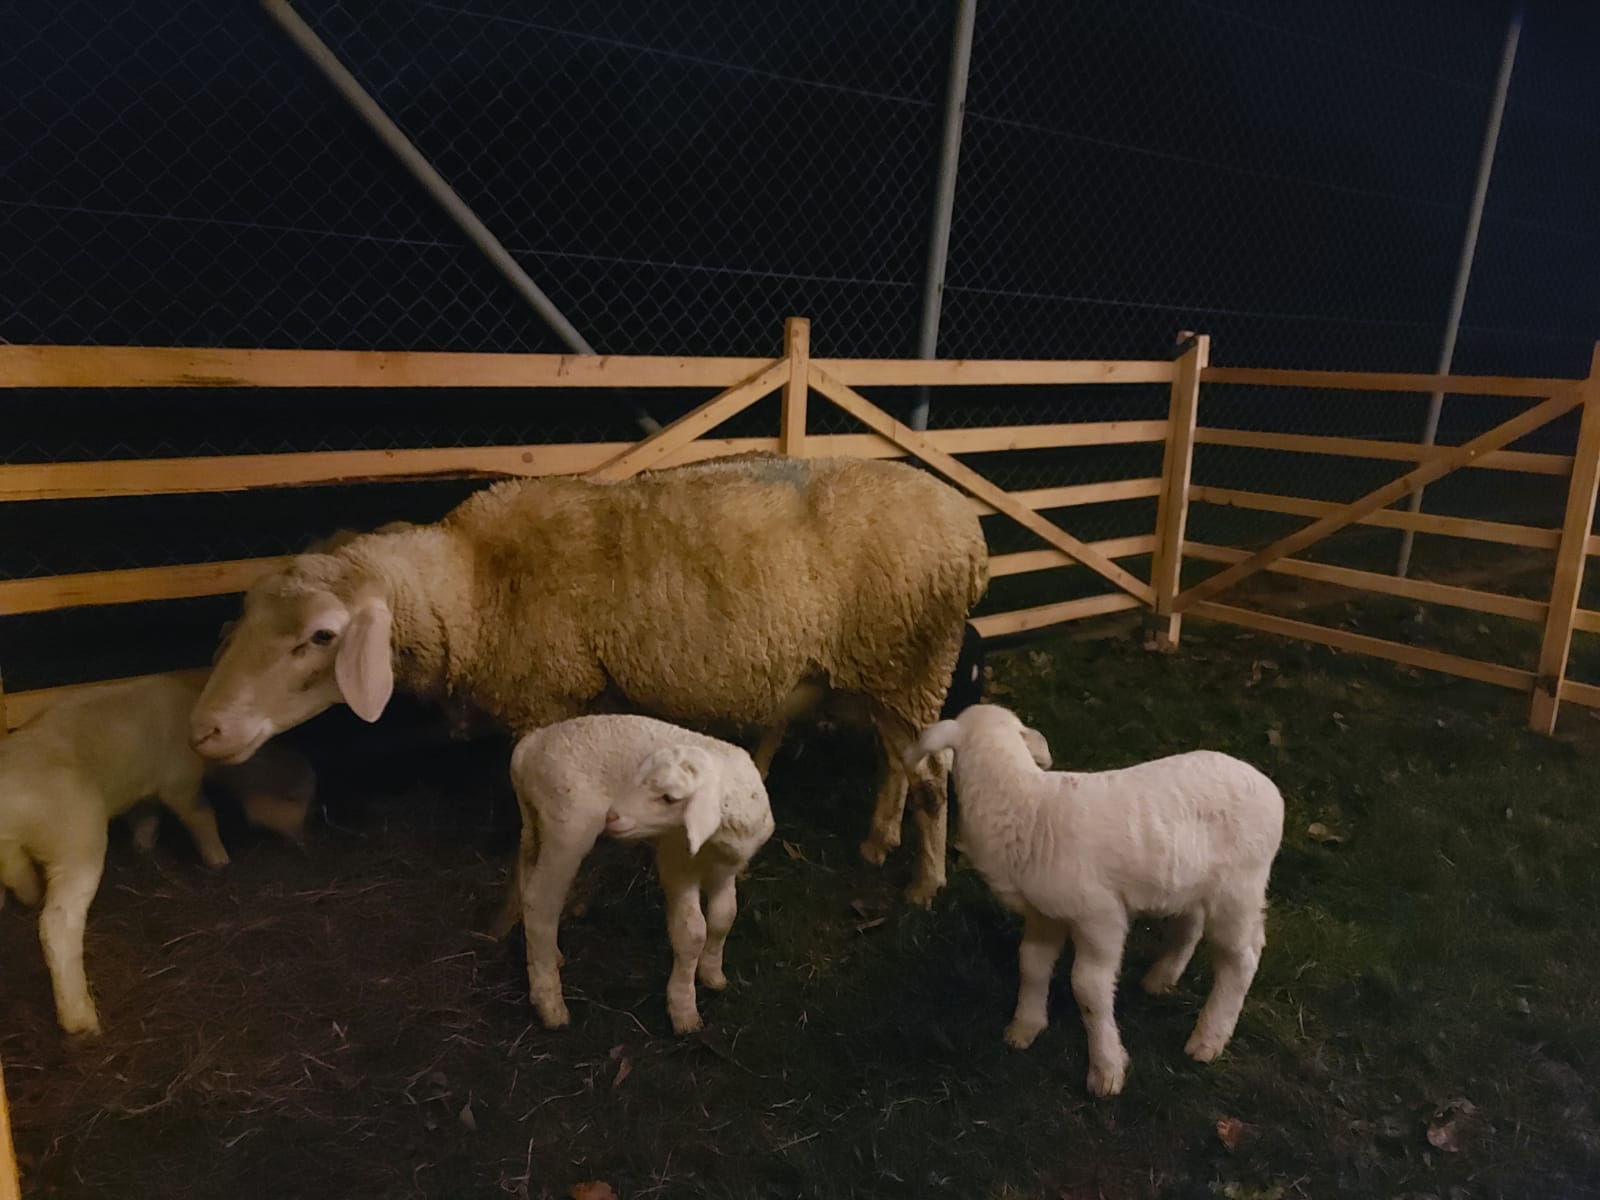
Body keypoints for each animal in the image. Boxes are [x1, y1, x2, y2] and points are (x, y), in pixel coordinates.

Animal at [0, 675, 230, 1035]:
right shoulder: (180, 782)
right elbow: (202, 816)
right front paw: (219, 859)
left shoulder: (146, 791)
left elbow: (146, 818)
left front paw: (143, 848)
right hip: (78, 837)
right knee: (58, 924)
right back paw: (81, 1020)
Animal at [508, 714, 774, 1032]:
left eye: (670, 798)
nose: (612, 816)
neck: (714, 845)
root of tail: (529, 747)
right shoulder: (676, 863)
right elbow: (692, 932)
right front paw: (683, 1008)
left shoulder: (725, 869)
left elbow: (724, 917)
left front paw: (712, 974)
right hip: (568, 828)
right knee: (540, 903)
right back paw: (550, 1003)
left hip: (535, 822)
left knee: (527, 881)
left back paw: (547, 957)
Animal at [907, 704, 1284, 1097]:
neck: (1027, 803)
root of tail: (1271, 789)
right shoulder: (1044, 912)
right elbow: (1032, 963)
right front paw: (1025, 1026)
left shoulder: (1100, 915)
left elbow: (1088, 987)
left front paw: (1106, 1068)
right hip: (1191, 880)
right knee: (1192, 923)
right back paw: (1161, 978)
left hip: (1238, 888)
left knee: (1242, 959)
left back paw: (1208, 1038)